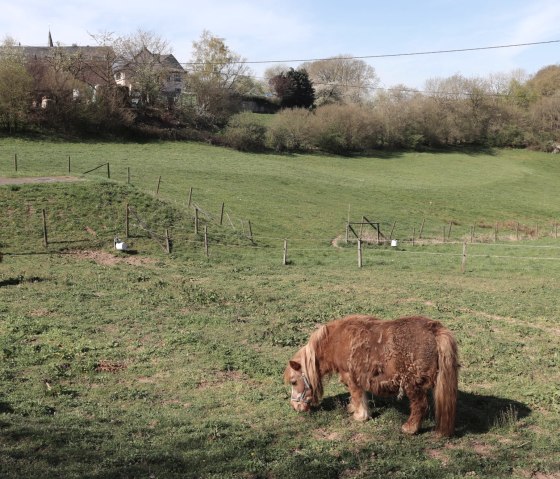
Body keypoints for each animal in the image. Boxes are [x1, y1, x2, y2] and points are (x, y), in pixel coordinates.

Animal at [284, 316, 460, 436]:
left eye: (293, 382)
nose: (295, 407)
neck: (335, 341)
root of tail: (434, 329)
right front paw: (353, 408)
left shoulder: (351, 376)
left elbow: (356, 394)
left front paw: (360, 416)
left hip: (412, 384)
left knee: (420, 406)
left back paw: (409, 428)